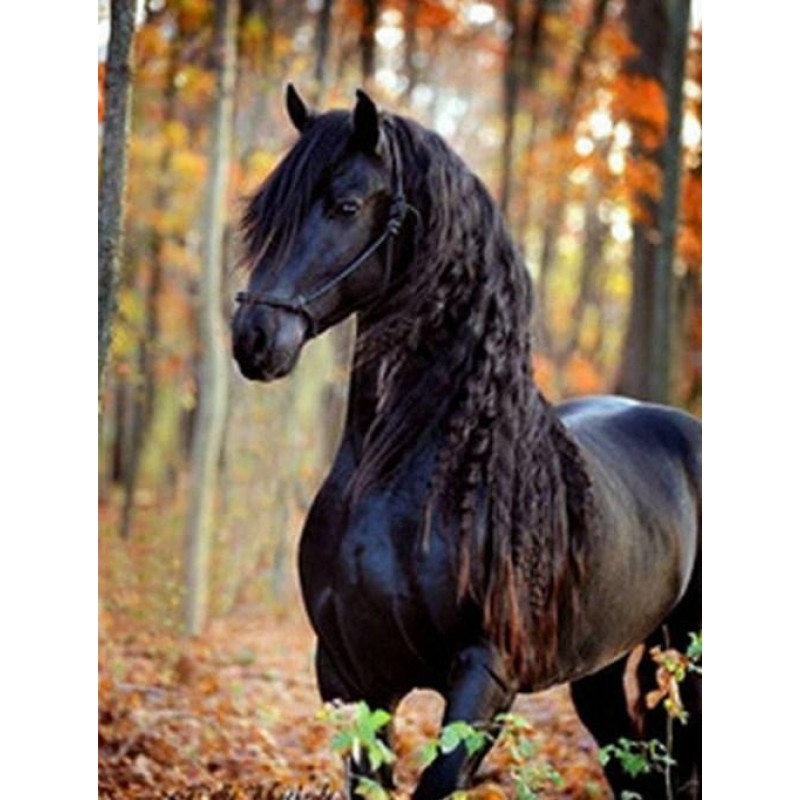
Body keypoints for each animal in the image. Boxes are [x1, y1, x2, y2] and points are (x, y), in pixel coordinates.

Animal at [231, 85, 701, 799]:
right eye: (263, 212)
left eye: (345, 205)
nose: (253, 339)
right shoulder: (349, 676)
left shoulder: (486, 677)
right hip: (599, 667)